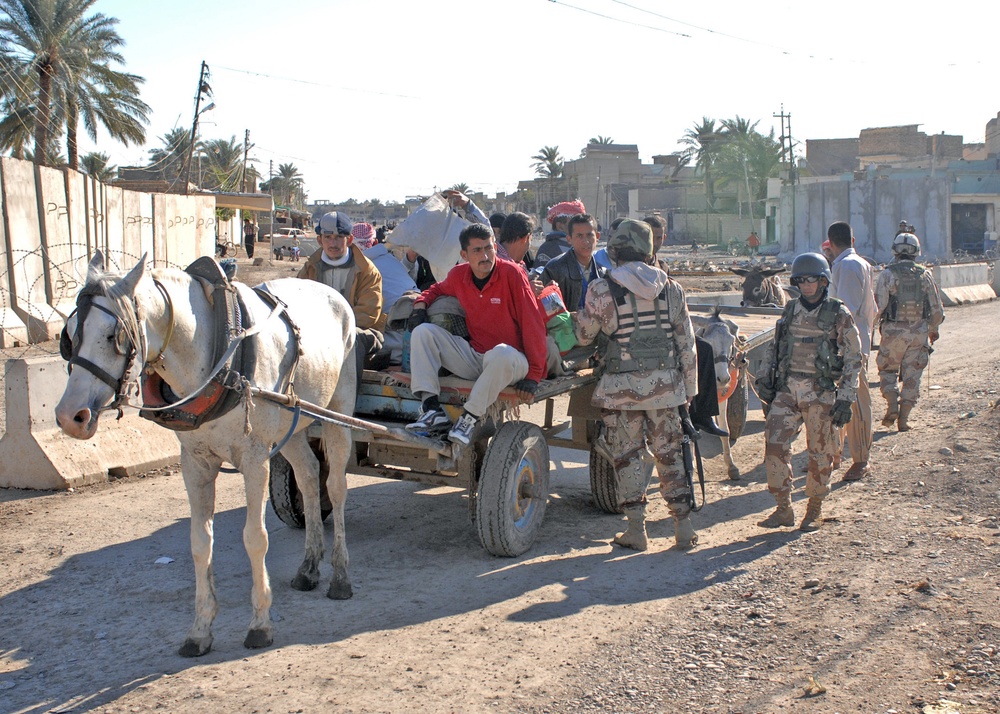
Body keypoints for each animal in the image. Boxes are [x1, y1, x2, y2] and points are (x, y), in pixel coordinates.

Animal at [55, 254, 360, 656]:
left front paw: (260, 623)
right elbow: (200, 542)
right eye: (70, 334)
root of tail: (333, 293)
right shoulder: (195, 462)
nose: (69, 416)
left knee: (336, 487)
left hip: (337, 413)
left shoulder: (255, 459)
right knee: (309, 476)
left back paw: (340, 575)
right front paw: (200, 629)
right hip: (293, 421)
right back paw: (309, 567)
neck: (214, 355)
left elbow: (255, 538)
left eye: (114, 336)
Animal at [696, 306, 744, 478]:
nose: (723, 378)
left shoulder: (722, 399)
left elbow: (725, 430)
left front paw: (731, 466)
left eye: (731, 342)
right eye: (708, 342)